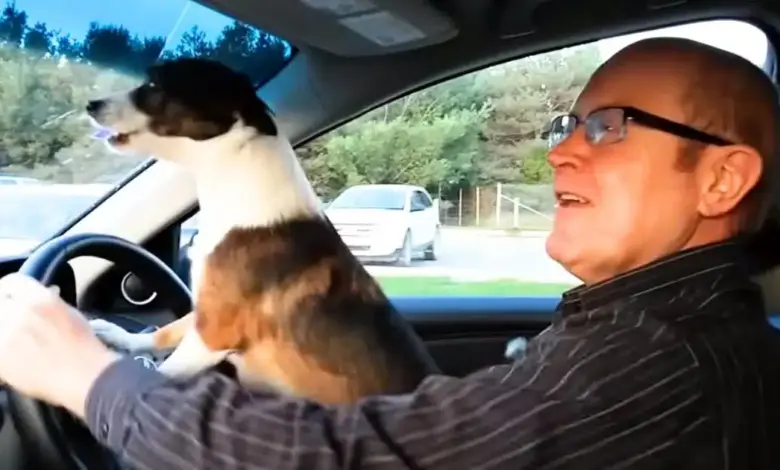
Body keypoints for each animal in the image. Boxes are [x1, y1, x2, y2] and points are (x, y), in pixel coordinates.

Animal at [87, 57, 438, 404]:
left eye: (154, 83)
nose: (92, 104)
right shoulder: (207, 312)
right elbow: (167, 329)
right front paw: (124, 337)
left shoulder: (213, 333)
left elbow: (162, 373)